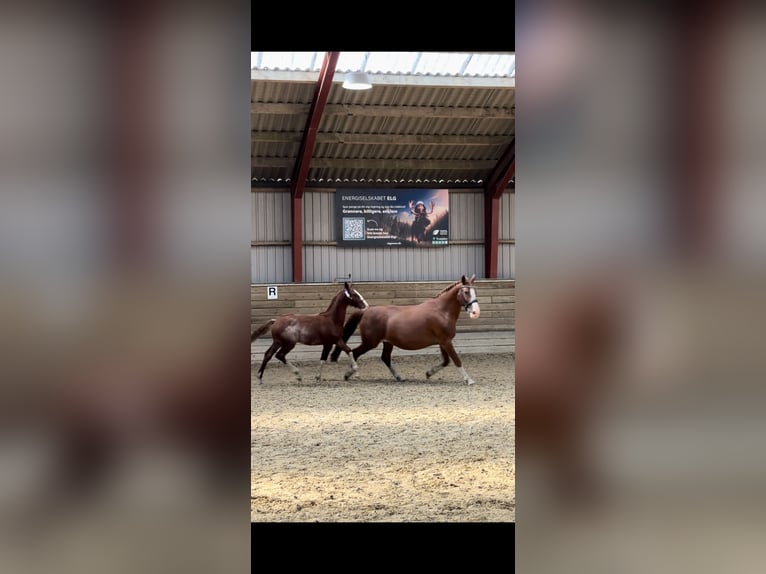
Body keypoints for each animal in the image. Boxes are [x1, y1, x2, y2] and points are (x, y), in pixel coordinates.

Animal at [330, 276, 480, 384]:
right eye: (466, 292)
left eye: (475, 292)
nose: (476, 312)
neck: (441, 311)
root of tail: (366, 311)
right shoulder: (446, 341)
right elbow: (456, 360)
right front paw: (469, 380)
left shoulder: (443, 342)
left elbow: (446, 361)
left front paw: (428, 373)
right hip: (370, 342)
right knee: (354, 352)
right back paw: (349, 374)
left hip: (387, 342)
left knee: (385, 358)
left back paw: (399, 377)